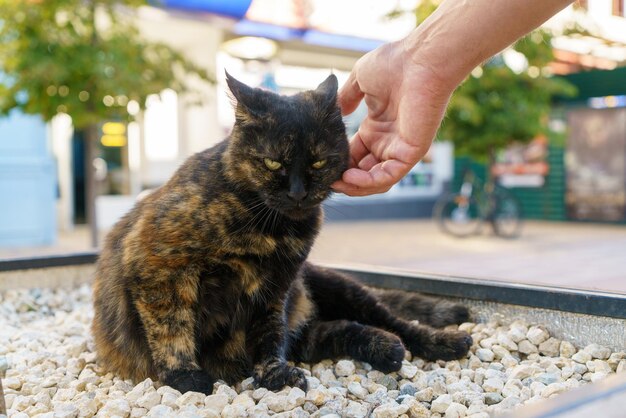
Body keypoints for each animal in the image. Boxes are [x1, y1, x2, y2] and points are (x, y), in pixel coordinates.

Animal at [92, 72, 470, 396]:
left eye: (318, 162)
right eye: (273, 163)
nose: (298, 193)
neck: (270, 228)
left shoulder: (277, 284)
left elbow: (269, 333)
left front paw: (273, 373)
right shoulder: (159, 265)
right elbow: (170, 325)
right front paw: (185, 377)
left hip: (337, 287)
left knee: (390, 319)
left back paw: (443, 342)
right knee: (336, 330)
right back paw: (388, 348)